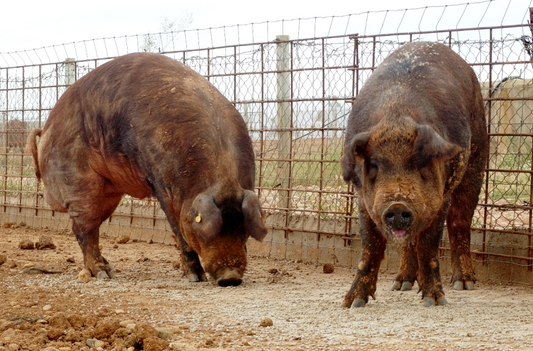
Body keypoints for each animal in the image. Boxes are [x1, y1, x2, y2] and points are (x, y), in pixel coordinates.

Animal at [26, 53, 266, 288]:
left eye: (242, 228)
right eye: (207, 230)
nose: (231, 277)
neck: (222, 178)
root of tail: (45, 130)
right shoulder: (161, 183)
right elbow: (178, 231)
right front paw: (196, 278)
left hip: (108, 193)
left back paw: (108, 267)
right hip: (77, 181)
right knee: (84, 228)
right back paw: (103, 273)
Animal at [340, 42, 486, 308]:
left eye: (421, 163)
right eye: (374, 164)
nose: (398, 205)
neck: (397, 117)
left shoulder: (440, 199)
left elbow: (428, 246)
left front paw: (435, 301)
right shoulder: (364, 199)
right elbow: (370, 246)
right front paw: (352, 303)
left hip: (478, 156)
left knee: (460, 222)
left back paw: (464, 283)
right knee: (410, 241)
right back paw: (401, 284)